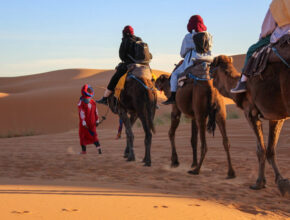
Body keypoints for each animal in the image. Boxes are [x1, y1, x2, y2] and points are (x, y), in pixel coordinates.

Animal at [211, 55, 290, 194]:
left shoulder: (250, 114)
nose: (207, 70)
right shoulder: (276, 117)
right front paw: (280, 181)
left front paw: (258, 183)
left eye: (212, 65)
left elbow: (261, 149)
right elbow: (270, 149)